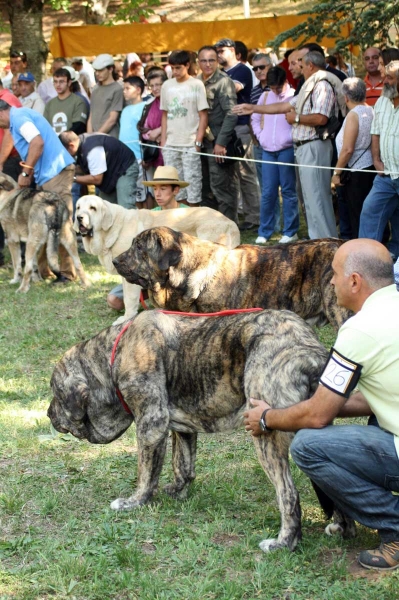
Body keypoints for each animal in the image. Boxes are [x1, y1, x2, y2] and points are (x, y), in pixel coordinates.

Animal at [48, 310, 354, 552]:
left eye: (55, 392)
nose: (48, 413)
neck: (113, 355)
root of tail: (310, 351)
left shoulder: (151, 423)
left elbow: (146, 472)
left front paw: (135, 502)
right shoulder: (180, 428)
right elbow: (182, 464)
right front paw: (177, 491)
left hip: (265, 436)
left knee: (288, 494)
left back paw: (284, 543)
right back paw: (341, 528)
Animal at [73, 197, 239, 324]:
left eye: (93, 208)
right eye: (78, 207)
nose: (79, 217)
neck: (112, 229)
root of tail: (231, 222)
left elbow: (129, 300)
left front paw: (126, 318)